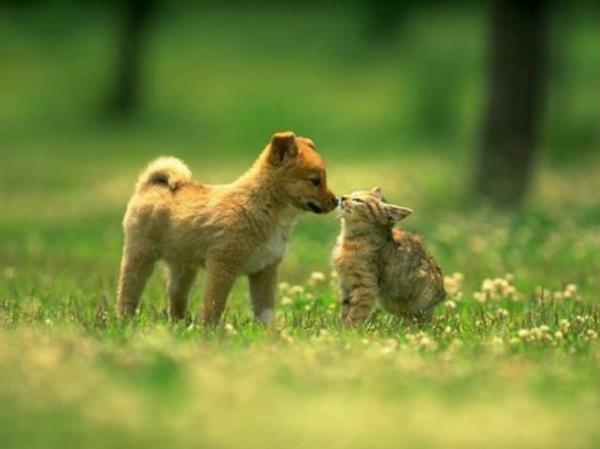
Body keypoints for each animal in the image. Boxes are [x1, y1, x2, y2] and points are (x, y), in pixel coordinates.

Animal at [115, 131, 336, 324]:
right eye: (315, 181)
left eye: (324, 180)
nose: (336, 201)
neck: (262, 207)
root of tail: (149, 185)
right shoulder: (222, 266)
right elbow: (214, 306)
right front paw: (210, 333)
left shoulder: (265, 271)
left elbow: (265, 310)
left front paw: (270, 335)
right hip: (140, 256)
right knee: (127, 293)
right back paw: (126, 321)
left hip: (183, 269)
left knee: (175, 300)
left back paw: (179, 324)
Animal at [332, 187, 446, 324]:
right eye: (351, 193)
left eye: (358, 200)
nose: (343, 197)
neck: (350, 240)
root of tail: (442, 293)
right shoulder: (346, 285)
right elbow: (345, 310)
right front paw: (340, 326)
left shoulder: (365, 288)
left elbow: (356, 314)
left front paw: (349, 328)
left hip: (418, 306)